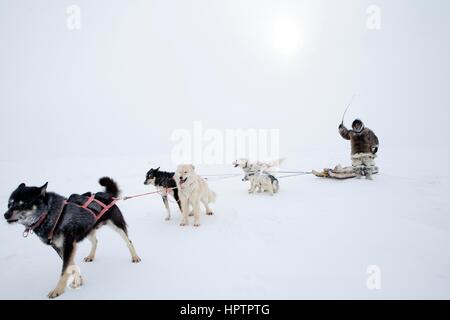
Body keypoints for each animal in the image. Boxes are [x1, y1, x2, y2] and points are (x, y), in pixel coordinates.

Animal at [3, 176, 141, 298]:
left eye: (23, 204)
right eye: (9, 204)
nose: (5, 215)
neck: (50, 215)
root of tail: (104, 195)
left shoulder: (68, 245)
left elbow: (64, 270)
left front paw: (58, 290)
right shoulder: (60, 247)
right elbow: (71, 266)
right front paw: (78, 281)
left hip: (117, 226)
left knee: (128, 241)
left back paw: (135, 257)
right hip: (88, 230)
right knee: (95, 241)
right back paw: (91, 256)